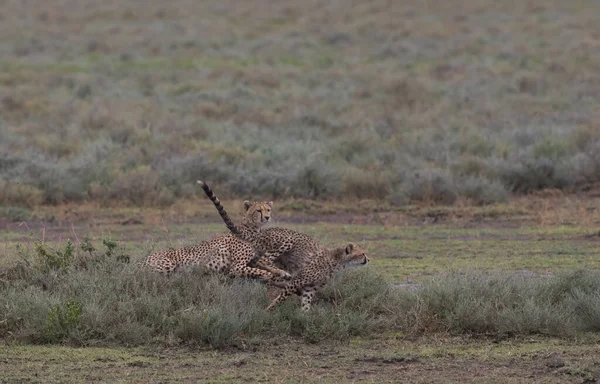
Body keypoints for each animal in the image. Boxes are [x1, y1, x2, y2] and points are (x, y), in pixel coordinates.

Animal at [142, 200, 290, 280]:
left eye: (268, 210)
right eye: (258, 210)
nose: (267, 217)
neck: (252, 229)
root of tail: (144, 259)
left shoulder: (254, 260)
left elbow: (268, 265)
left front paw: (283, 272)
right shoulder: (237, 267)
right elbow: (261, 271)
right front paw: (271, 275)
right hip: (168, 264)